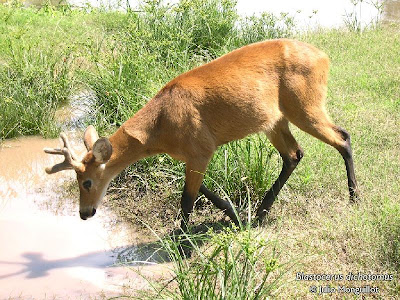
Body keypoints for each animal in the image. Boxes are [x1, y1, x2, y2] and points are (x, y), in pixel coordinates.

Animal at [44, 38, 360, 230]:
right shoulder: (193, 154)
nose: (85, 213)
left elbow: (186, 199)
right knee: (294, 154)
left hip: (305, 105)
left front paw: (180, 241)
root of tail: (325, 57)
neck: (159, 131)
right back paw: (261, 212)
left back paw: (355, 198)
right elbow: (203, 190)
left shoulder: (201, 147)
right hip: (275, 120)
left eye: (86, 182)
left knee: (342, 137)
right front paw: (233, 215)